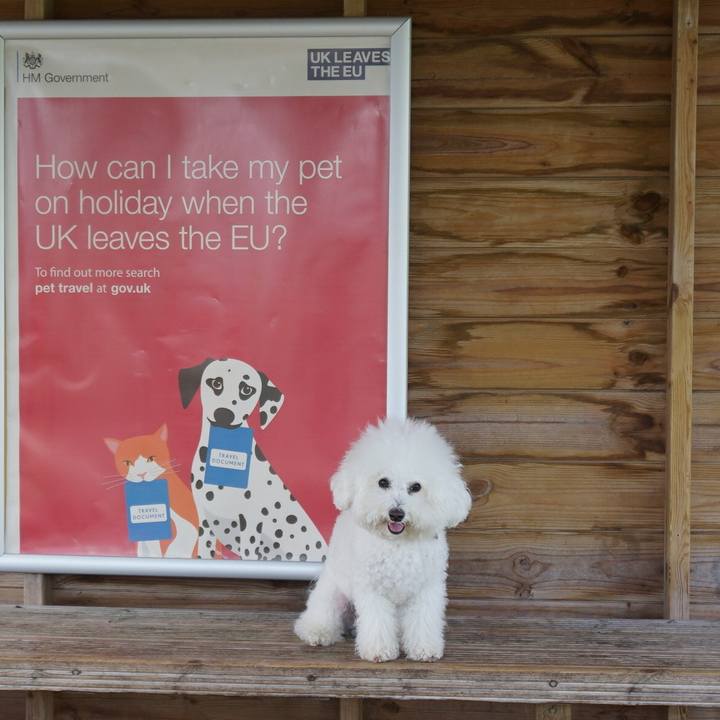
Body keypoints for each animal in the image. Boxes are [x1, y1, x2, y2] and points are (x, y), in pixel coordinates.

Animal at [294, 417, 471, 662]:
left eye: (416, 487)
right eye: (383, 482)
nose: (396, 514)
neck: (398, 543)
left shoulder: (427, 589)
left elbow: (423, 620)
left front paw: (424, 648)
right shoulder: (372, 589)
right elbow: (376, 621)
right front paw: (379, 650)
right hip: (333, 592)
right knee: (321, 612)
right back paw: (317, 632)